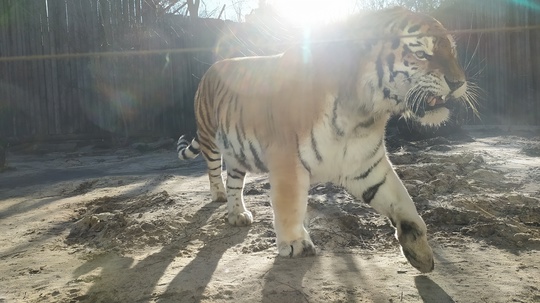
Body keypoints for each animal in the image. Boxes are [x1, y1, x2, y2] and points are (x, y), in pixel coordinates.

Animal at [176, 7, 472, 274]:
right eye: (422, 53)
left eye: (453, 52)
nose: (459, 82)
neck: (363, 114)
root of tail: (211, 68)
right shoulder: (287, 161)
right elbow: (290, 205)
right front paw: (295, 244)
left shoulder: (367, 165)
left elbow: (405, 204)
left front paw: (420, 253)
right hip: (210, 137)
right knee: (215, 171)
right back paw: (218, 196)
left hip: (237, 153)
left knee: (235, 181)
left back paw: (237, 214)